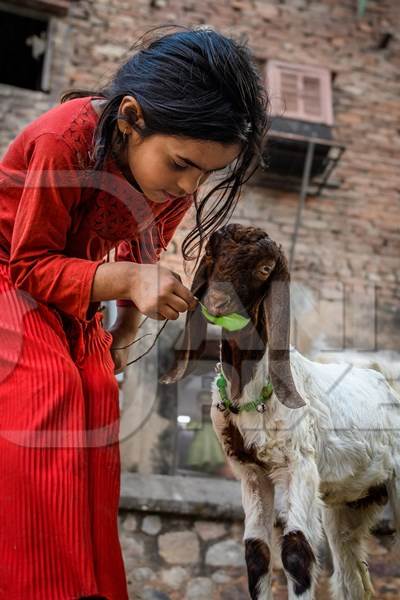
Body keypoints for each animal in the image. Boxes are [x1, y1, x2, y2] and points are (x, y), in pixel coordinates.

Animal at [162, 225, 400, 600]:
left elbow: (296, 552)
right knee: (353, 578)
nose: (217, 303)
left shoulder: (299, 466)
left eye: (264, 269)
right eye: (212, 256)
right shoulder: (251, 474)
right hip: (351, 503)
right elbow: (256, 552)